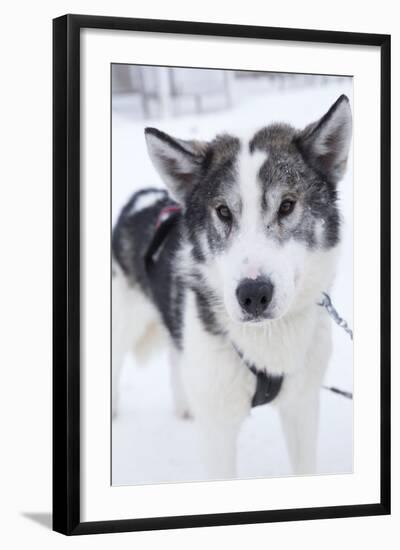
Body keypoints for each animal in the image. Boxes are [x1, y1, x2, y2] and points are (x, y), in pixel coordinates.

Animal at [111, 97, 350, 480]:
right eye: (223, 211)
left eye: (287, 205)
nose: (254, 294)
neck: (267, 345)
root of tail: (141, 198)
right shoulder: (218, 430)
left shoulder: (301, 406)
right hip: (123, 321)